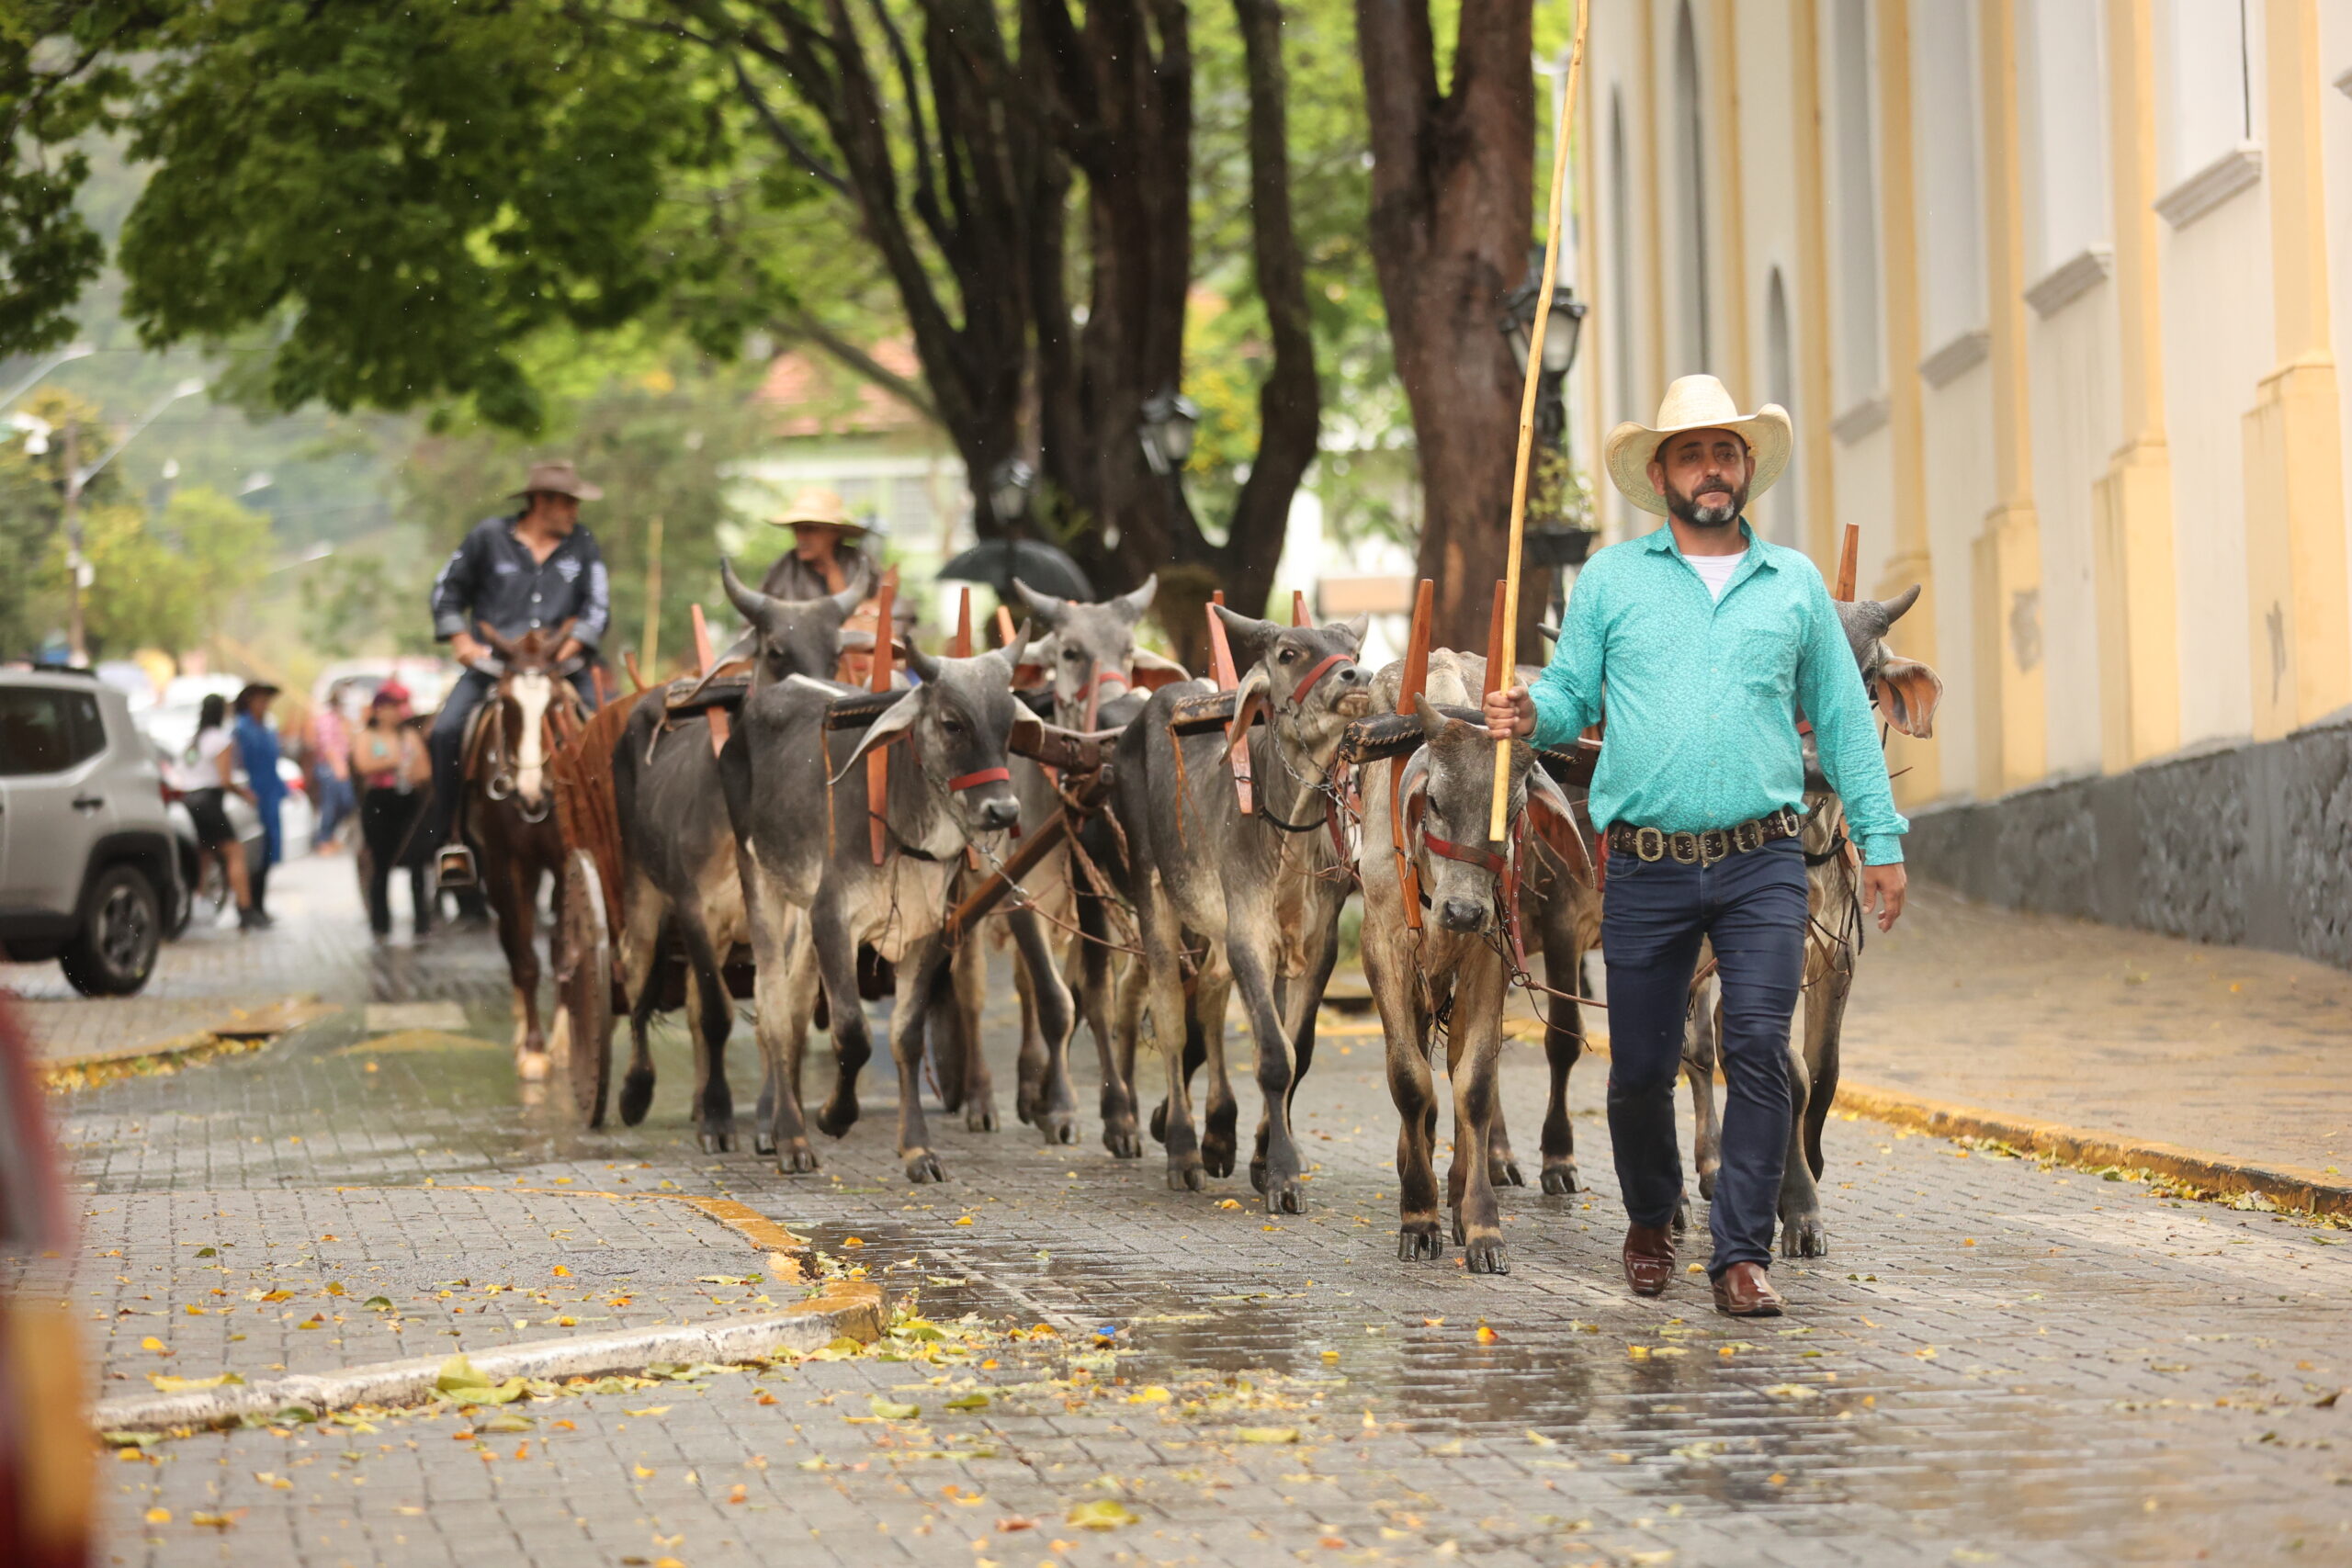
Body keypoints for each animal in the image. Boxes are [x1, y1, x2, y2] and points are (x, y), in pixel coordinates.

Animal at [458, 620, 588, 1086]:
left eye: (556, 704)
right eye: (506, 704)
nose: (532, 794)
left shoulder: (565, 860)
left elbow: (563, 948)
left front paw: (564, 1042)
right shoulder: (506, 864)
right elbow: (526, 958)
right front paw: (533, 1049)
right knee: (511, 943)